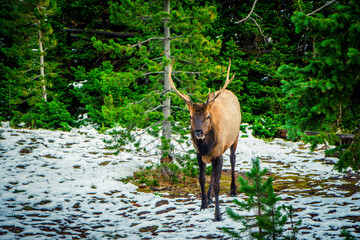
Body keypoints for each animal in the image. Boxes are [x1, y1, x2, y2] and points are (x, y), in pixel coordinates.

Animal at [169, 59, 242, 221]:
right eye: (190, 116)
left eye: (207, 116)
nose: (198, 131)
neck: (206, 146)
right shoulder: (199, 154)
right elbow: (202, 178)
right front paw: (203, 205)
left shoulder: (219, 153)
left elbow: (217, 184)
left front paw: (218, 215)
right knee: (213, 174)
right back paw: (209, 197)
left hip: (235, 136)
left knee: (233, 158)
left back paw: (233, 190)